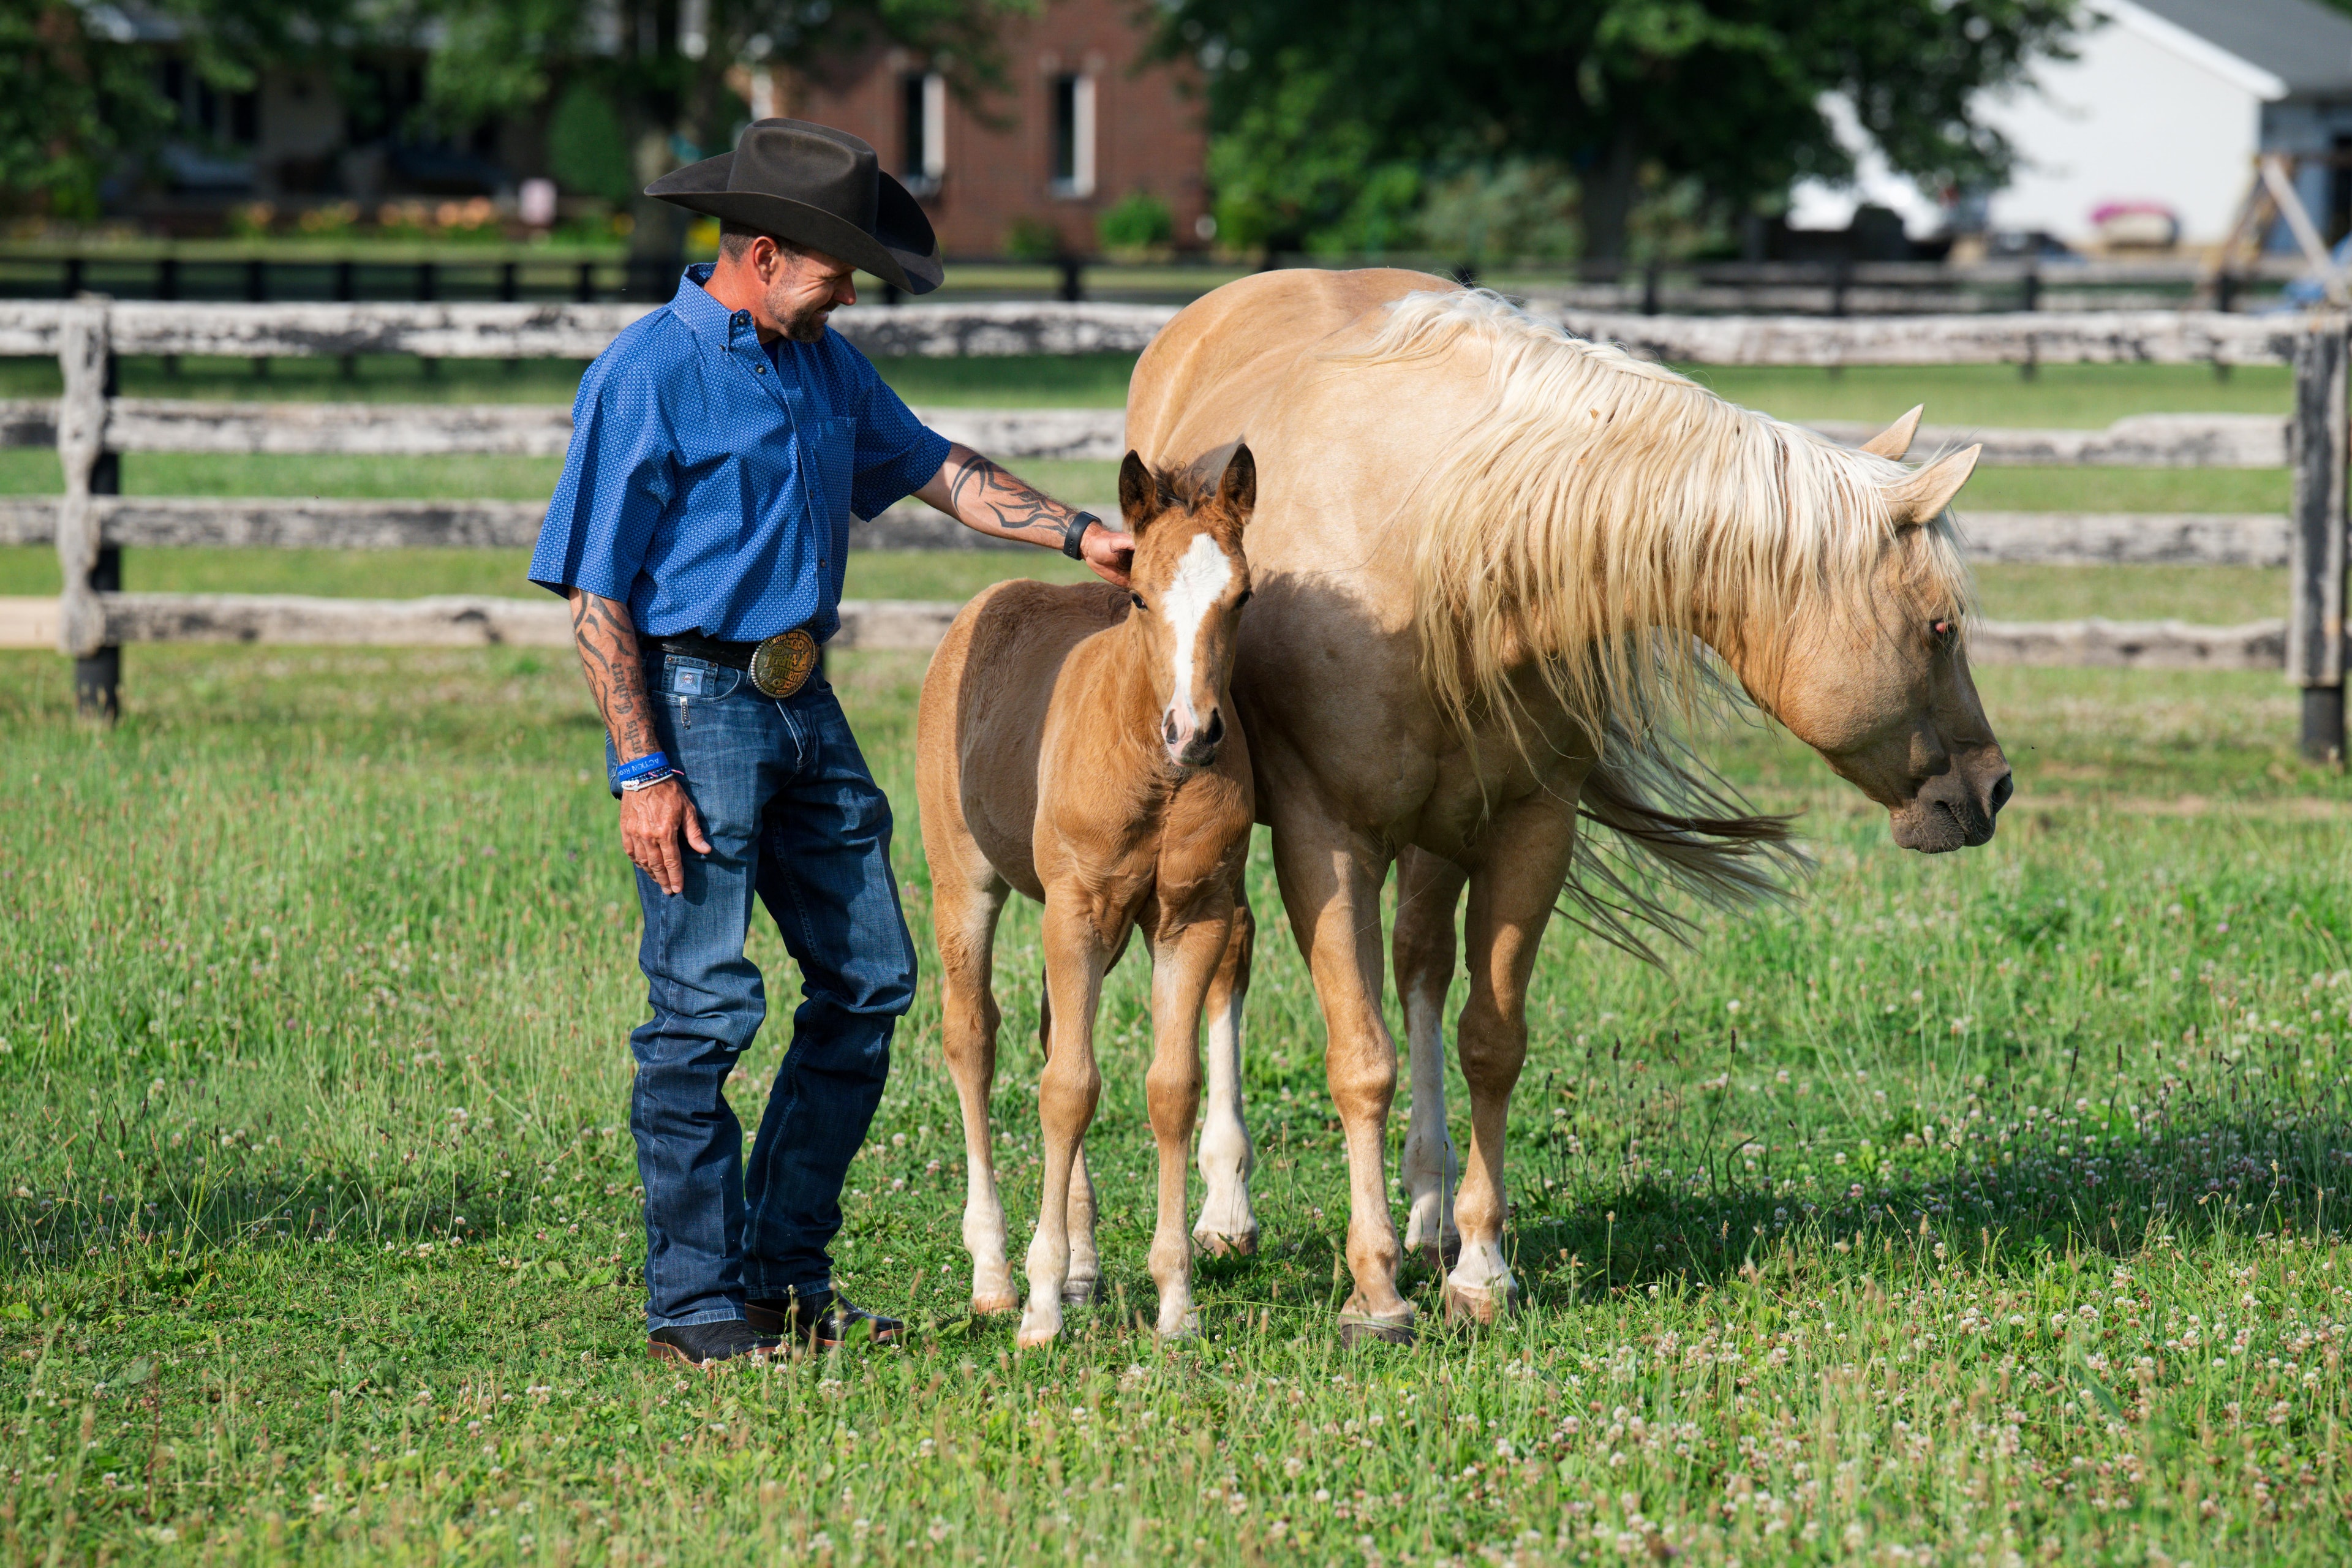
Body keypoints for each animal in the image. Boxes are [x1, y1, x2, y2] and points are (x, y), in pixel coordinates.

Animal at [916, 447, 1261, 1346]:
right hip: (967, 885)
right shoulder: (1075, 912)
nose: (1195, 731)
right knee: (974, 1039)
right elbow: (1067, 1091)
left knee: (1048, 1034)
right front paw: (1038, 1308)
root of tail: (981, 607)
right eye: (1139, 595)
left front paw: (1176, 1301)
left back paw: (1079, 1265)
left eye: (1243, 596)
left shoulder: (1192, 917)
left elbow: (1170, 1090)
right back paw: (996, 1272)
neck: (1150, 760)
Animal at [1124, 270, 2011, 1342]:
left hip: (1439, 838)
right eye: (1940, 627)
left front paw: (1480, 1270)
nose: (1993, 786)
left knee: (1422, 967)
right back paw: (1228, 1210)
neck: (1441, 552)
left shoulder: (1527, 831)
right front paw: (1374, 1291)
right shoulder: (1322, 839)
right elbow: (1360, 1059)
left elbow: (1490, 1043)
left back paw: (1427, 1210)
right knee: (1235, 972)